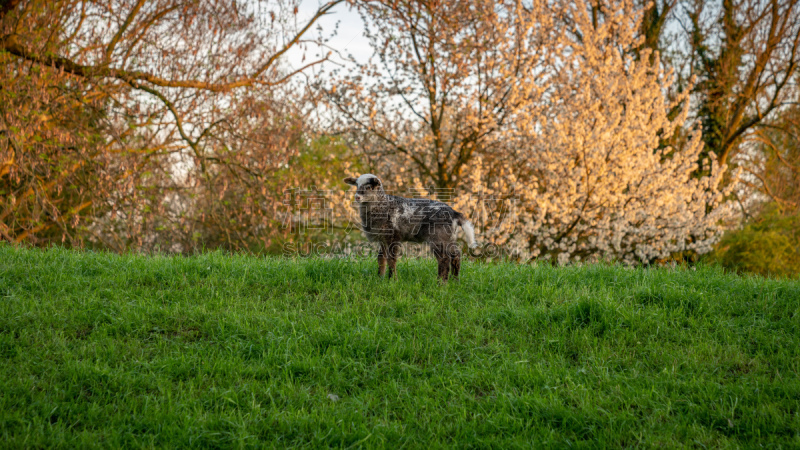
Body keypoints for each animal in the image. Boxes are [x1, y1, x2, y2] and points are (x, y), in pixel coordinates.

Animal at [342, 173, 476, 282]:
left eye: (369, 187)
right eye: (357, 185)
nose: (357, 197)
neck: (382, 204)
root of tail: (454, 213)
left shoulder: (393, 236)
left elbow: (391, 259)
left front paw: (392, 280)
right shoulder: (383, 237)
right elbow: (381, 258)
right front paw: (380, 277)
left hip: (439, 236)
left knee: (444, 259)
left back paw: (441, 283)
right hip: (449, 236)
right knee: (456, 255)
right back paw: (455, 280)